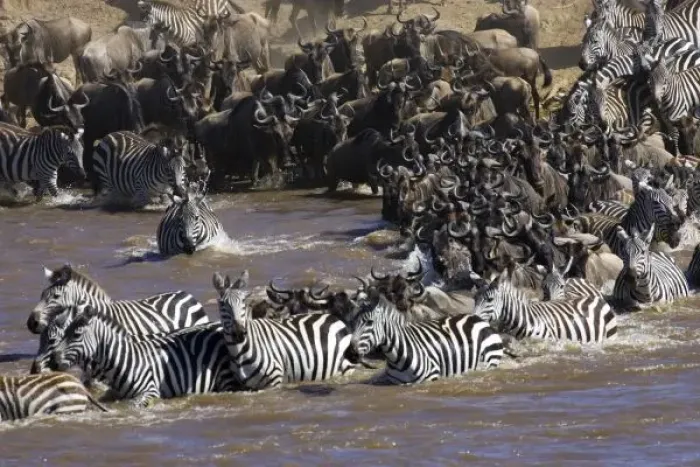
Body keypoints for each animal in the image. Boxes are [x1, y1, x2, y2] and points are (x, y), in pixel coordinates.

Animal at [49, 301, 238, 407]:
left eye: (76, 335)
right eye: (64, 332)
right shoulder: (112, 394)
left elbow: (134, 406)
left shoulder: (151, 390)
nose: (53, 361)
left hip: (226, 378)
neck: (126, 362)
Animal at [347, 290, 504, 385]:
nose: (351, 354)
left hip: (490, 362)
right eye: (353, 322)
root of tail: (477, 319)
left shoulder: (431, 378)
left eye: (369, 322)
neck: (396, 357)